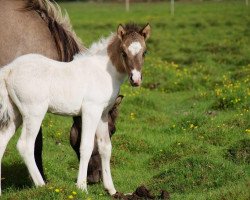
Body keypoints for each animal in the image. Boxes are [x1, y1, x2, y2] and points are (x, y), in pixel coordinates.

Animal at [0, 23, 150, 195]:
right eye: (123, 52)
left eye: (144, 52)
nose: (135, 80)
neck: (103, 71)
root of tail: (9, 69)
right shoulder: (91, 110)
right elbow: (86, 146)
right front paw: (82, 187)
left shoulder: (103, 114)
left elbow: (105, 148)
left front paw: (112, 190)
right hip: (34, 113)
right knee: (25, 145)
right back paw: (43, 186)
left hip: (16, 114)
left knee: (2, 141)